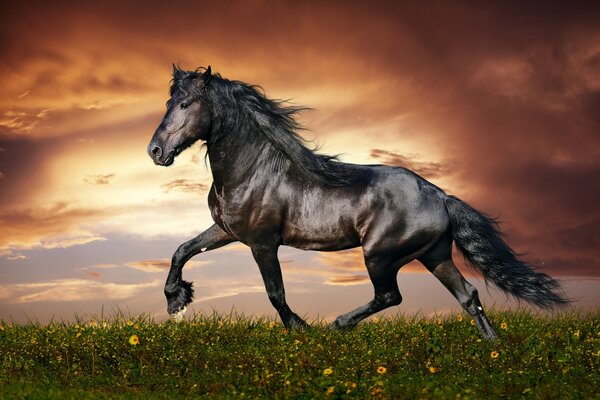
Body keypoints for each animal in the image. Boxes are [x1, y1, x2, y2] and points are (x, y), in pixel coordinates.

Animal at [146, 65, 568, 338]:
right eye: (169, 102)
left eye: (185, 104)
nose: (155, 151)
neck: (253, 169)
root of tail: (439, 195)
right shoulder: (227, 230)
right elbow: (182, 250)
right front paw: (176, 301)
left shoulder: (262, 243)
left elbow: (275, 293)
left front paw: (301, 329)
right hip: (435, 255)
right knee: (468, 295)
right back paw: (492, 347)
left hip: (380, 255)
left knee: (390, 295)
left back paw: (338, 324)